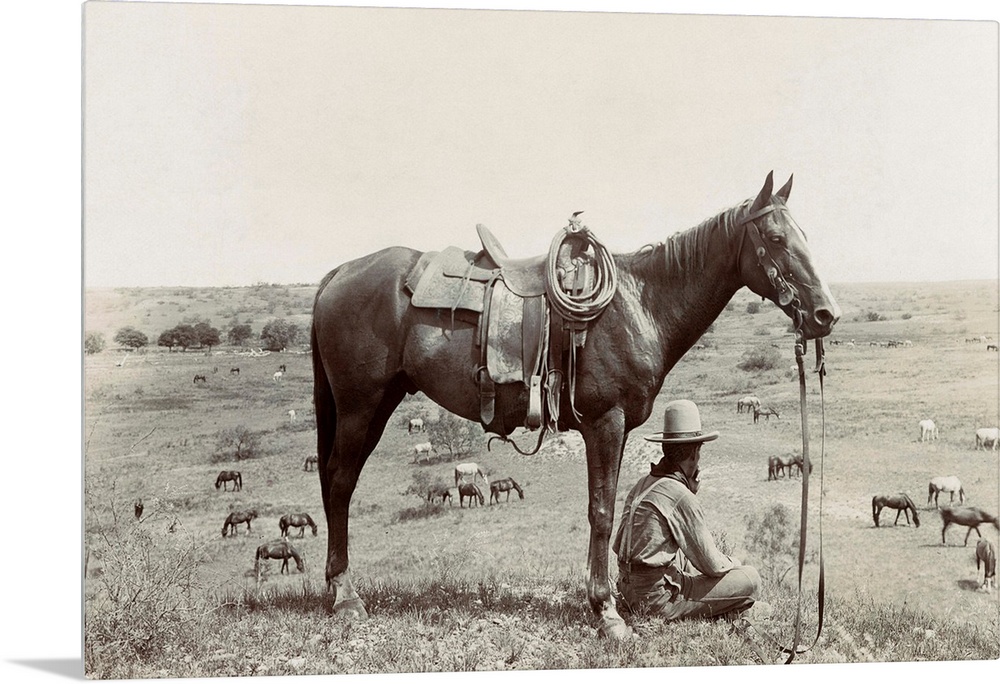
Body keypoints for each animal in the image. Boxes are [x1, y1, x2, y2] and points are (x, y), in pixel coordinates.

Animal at [310, 172, 839, 637]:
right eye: (776, 237)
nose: (825, 314)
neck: (640, 304)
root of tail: (339, 273)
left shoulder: (618, 428)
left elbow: (608, 505)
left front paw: (601, 602)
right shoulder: (605, 423)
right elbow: (601, 511)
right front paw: (606, 612)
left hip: (378, 406)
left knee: (339, 483)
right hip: (359, 407)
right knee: (339, 483)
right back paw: (345, 597)